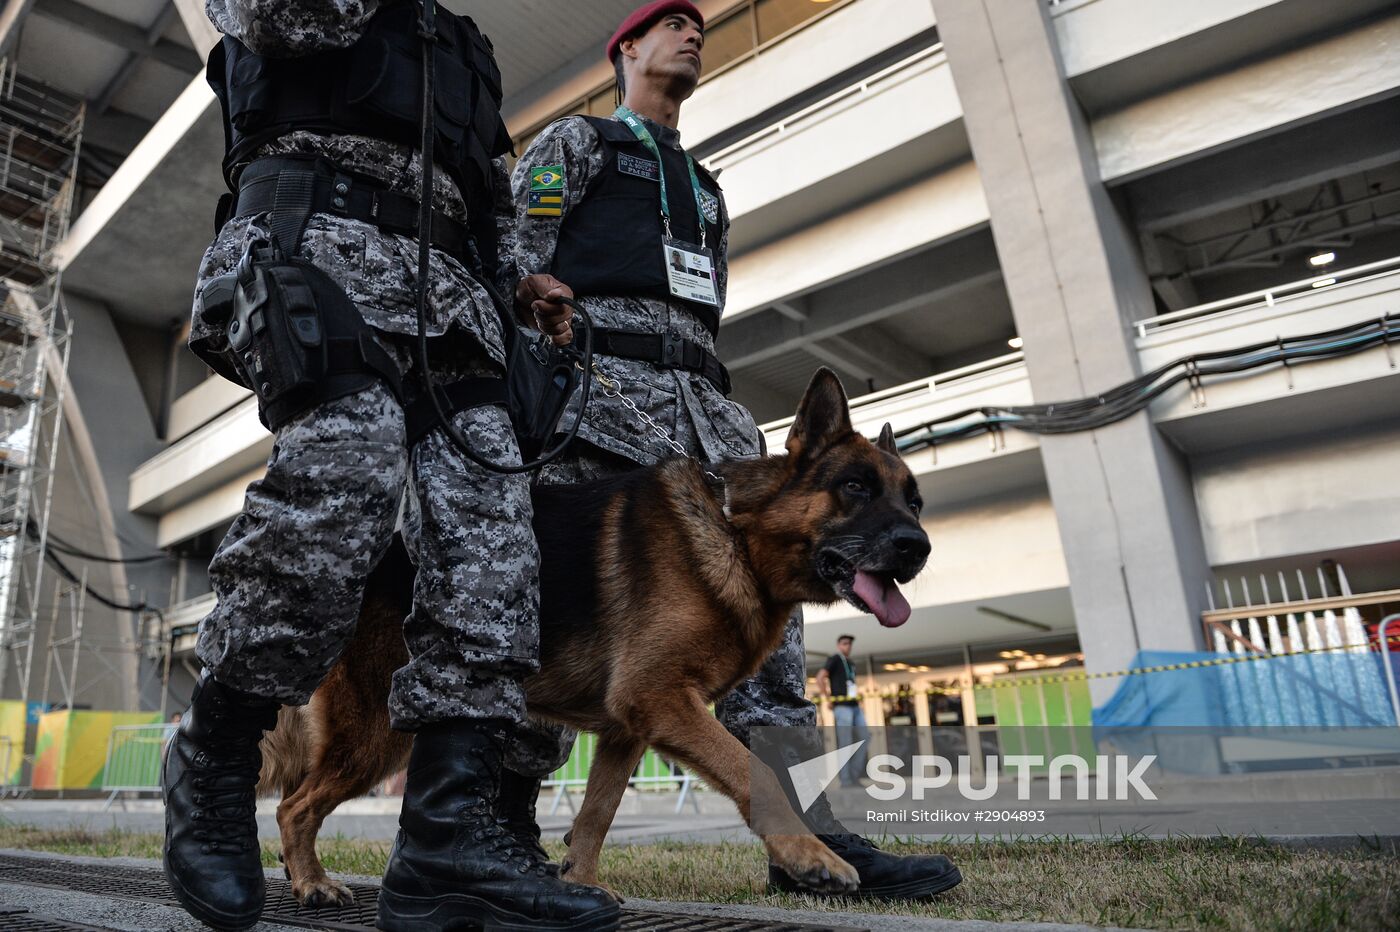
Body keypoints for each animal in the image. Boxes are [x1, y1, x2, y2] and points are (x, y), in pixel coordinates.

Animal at [263, 369, 935, 901]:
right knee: (293, 807)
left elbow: (598, 814)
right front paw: (811, 856)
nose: (919, 548)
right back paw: (312, 883)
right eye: (854, 487)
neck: (738, 535)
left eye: (916, 502)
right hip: (378, 730)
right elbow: (753, 771)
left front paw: (579, 884)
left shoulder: (628, 726)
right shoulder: (658, 697)